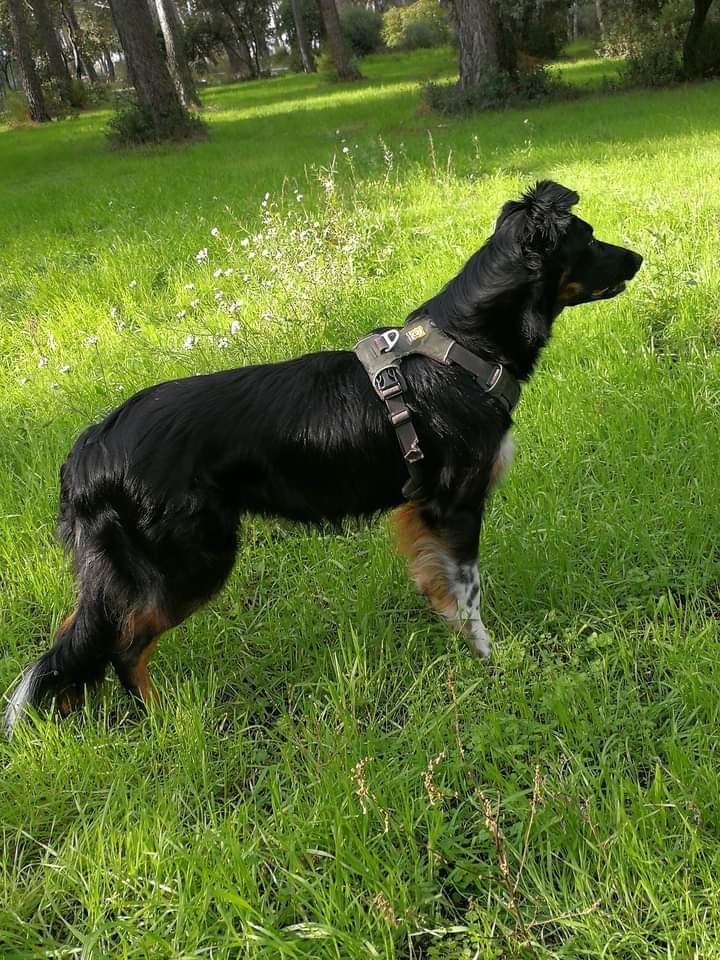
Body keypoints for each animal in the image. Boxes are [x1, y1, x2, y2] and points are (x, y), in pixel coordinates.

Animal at [4, 180, 642, 736]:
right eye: (589, 239)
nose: (637, 259)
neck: (463, 349)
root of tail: (90, 448)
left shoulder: (420, 513)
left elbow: (438, 588)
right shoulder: (455, 504)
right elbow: (468, 594)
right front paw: (490, 664)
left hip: (127, 573)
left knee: (74, 642)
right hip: (188, 562)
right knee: (120, 646)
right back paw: (164, 720)